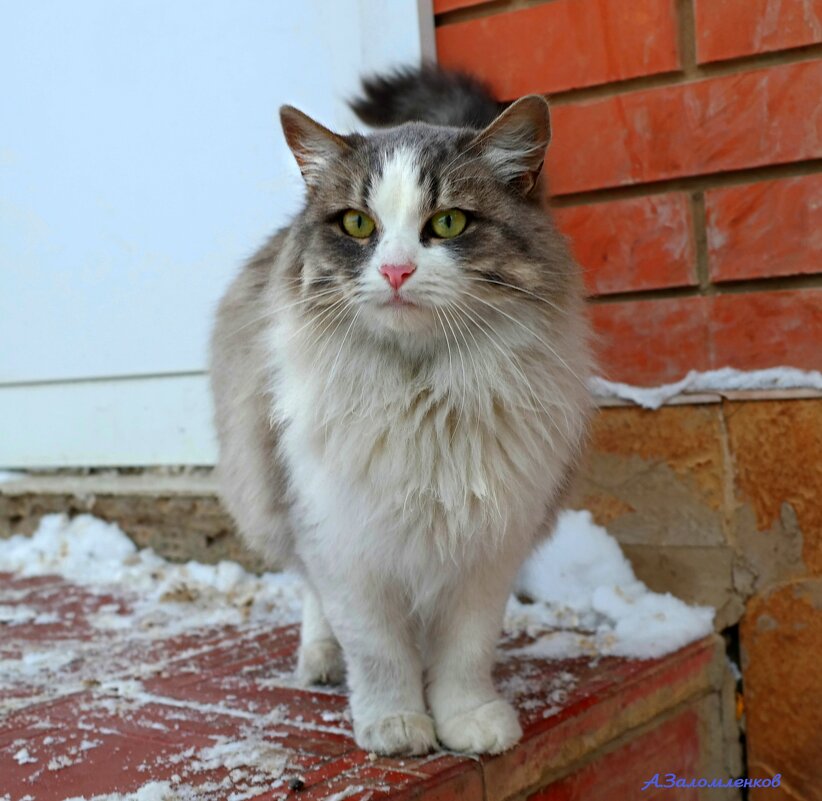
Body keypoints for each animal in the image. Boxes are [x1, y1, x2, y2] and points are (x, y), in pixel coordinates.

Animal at [209, 65, 596, 752]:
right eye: (358, 226)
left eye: (448, 224)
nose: (394, 271)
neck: (422, 396)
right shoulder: (345, 541)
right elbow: (380, 653)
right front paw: (396, 726)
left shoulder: (485, 549)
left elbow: (466, 654)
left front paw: (469, 722)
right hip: (277, 502)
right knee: (312, 597)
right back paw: (320, 663)